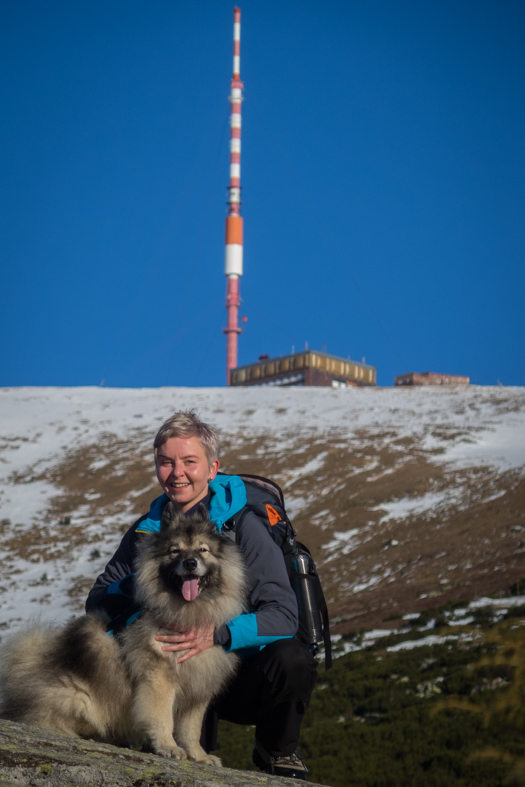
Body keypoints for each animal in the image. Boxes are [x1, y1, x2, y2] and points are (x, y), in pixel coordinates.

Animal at [0, 504, 246, 768]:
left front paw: (199, 756)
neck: (187, 613)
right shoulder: (158, 678)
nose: (190, 563)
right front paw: (168, 747)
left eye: (203, 549)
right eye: (175, 551)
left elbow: (191, 729)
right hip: (76, 698)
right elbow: (162, 717)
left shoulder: (198, 689)